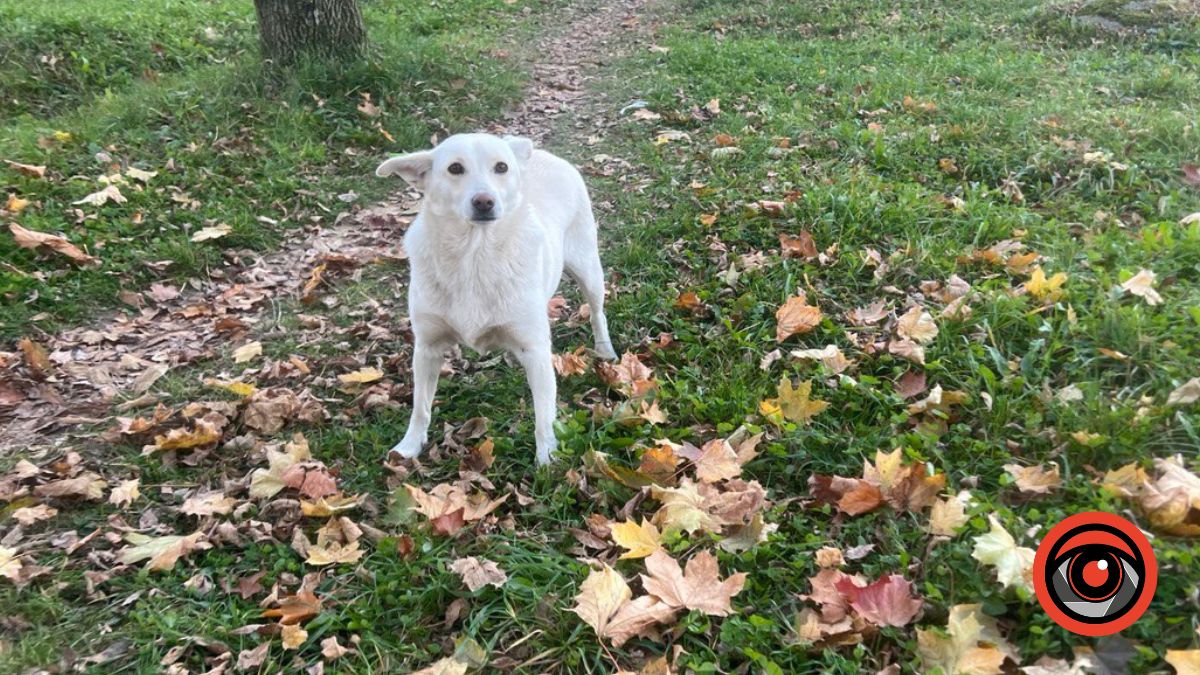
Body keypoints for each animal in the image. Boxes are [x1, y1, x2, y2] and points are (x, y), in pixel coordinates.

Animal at [376, 133, 619, 466]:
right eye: (455, 168)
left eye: (501, 167)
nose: (484, 201)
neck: (474, 255)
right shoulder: (427, 348)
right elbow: (420, 407)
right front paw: (409, 445)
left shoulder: (535, 350)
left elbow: (544, 415)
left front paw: (547, 458)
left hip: (588, 269)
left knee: (597, 313)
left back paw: (605, 350)